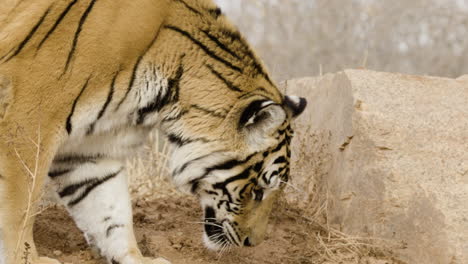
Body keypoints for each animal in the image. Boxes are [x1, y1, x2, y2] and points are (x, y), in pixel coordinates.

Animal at [0, 0, 308, 262]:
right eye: (258, 191)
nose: (251, 243)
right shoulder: (30, 118)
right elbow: (20, 208)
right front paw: (25, 258)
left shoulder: (91, 149)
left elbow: (110, 213)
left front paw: (137, 258)